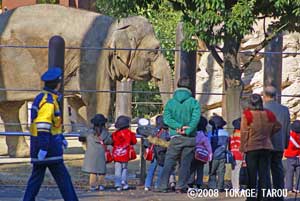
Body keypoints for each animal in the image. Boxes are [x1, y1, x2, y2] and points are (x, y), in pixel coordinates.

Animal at [0, 4, 172, 157]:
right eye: (154, 50)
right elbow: (98, 98)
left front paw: (90, 145)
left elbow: (81, 102)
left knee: (10, 107)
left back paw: (21, 153)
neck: (116, 26)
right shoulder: (94, 57)